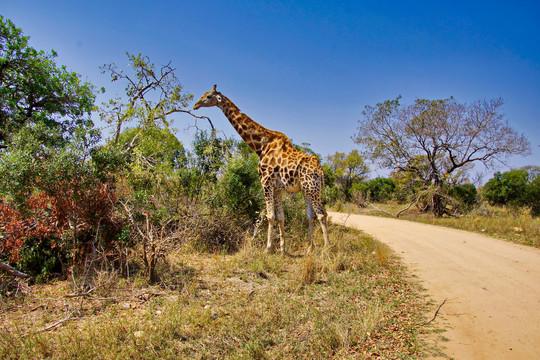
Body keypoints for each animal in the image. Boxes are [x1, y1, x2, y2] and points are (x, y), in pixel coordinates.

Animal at [194, 84, 330, 255]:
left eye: (208, 96)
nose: (196, 105)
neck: (260, 146)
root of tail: (321, 171)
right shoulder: (277, 189)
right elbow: (280, 216)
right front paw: (282, 249)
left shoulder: (266, 182)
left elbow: (270, 216)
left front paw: (268, 248)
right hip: (307, 189)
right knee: (311, 215)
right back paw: (310, 249)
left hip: (312, 188)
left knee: (322, 214)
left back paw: (327, 249)